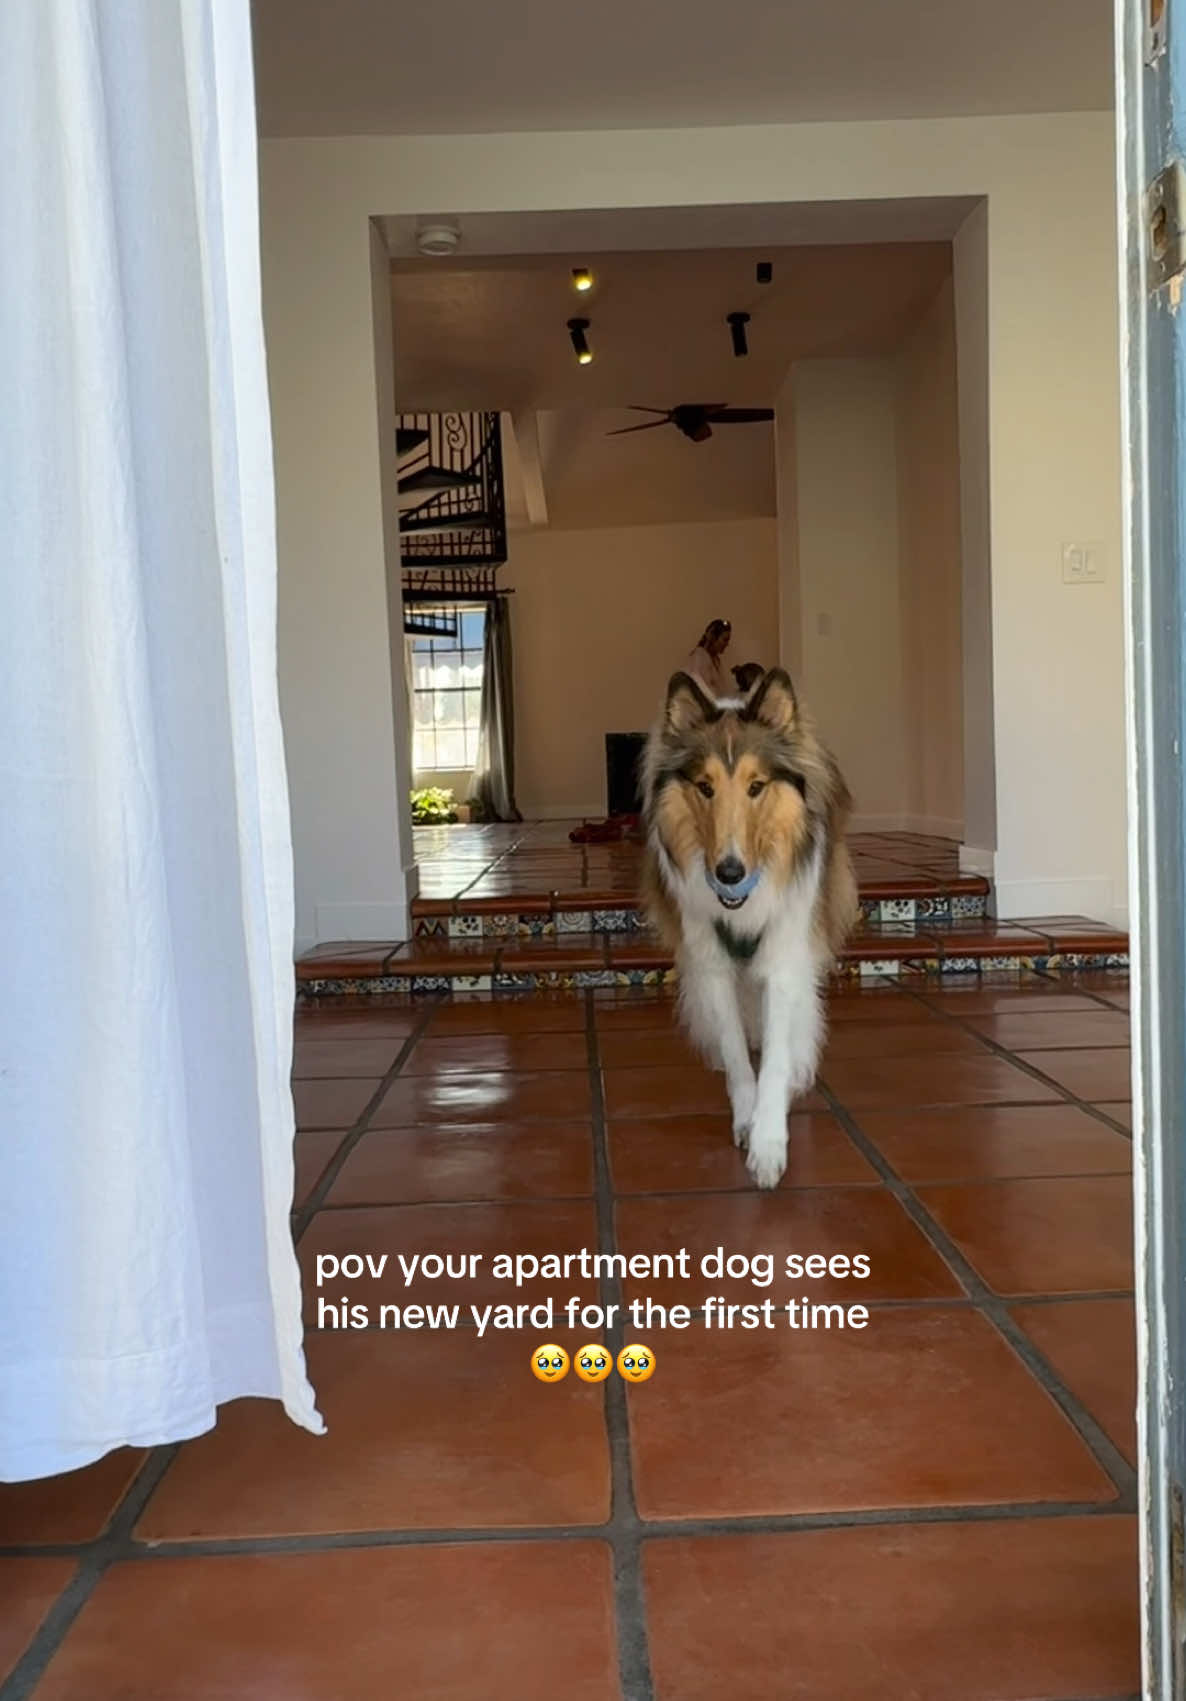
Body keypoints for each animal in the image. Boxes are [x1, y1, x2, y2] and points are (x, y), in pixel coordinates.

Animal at [643, 663, 854, 1183]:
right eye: (705, 787)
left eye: (757, 787)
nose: (729, 872)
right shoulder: (711, 962)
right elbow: (737, 1050)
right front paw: (747, 1117)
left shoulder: (784, 952)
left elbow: (775, 1053)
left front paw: (769, 1142)